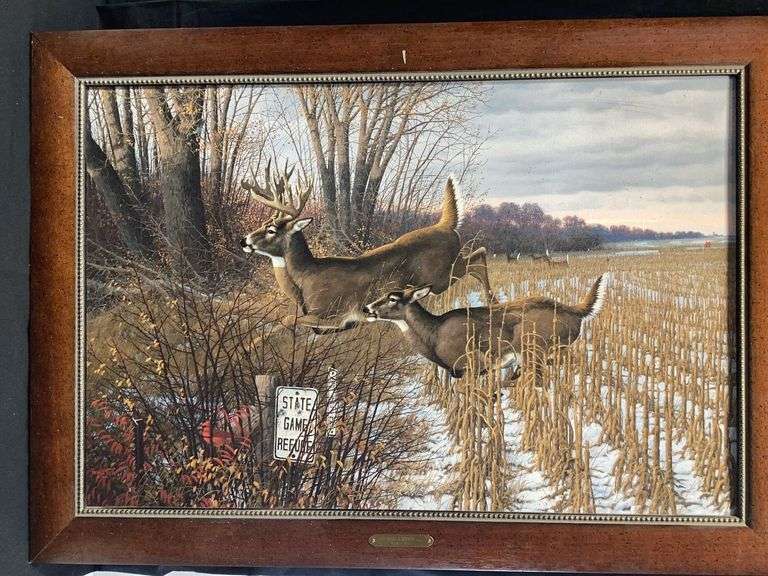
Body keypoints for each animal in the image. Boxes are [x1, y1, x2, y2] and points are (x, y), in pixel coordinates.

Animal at [239, 162, 497, 333]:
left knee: (479, 255)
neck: (304, 279)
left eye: (272, 230)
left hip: (441, 275)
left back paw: (493, 303)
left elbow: (285, 320)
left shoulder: (335, 313)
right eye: (263, 223)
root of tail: (445, 225)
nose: (244, 241)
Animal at [363, 273, 610, 385]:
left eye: (393, 299)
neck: (434, 334)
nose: (367, 308)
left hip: (535, 350)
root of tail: (576, 312)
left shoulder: (471, 366)